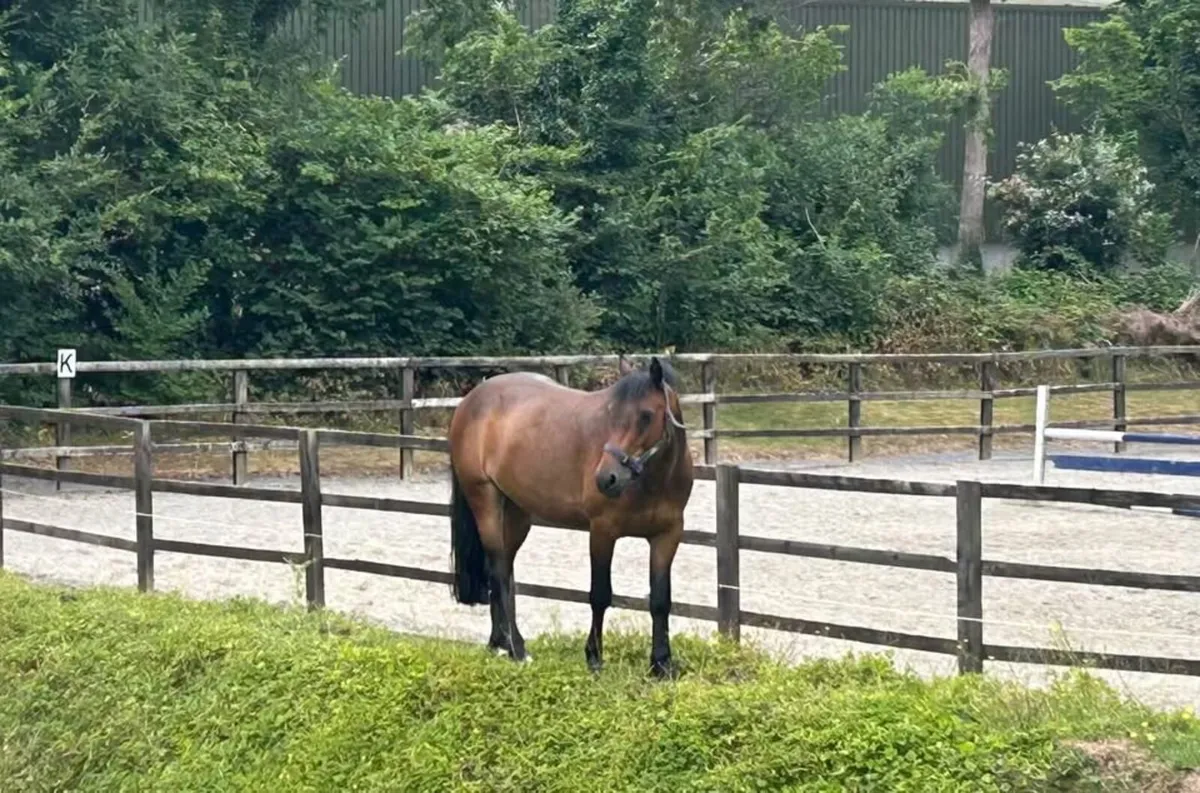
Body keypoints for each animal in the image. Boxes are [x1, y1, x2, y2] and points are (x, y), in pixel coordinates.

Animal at [446, 355, 695, 676]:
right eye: (610, 414)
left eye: (646, 415)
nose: (606, 478)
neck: (653, 480)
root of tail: (471, 400)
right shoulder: (602, 531)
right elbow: (600, 595)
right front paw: (594, 658)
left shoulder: (668, 536)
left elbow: (661, 600)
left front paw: (662, 664)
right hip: (485, 501)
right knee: (499, 573)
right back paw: (516, 648)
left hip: (516, 514)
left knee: (501, 573)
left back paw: (499, 643)